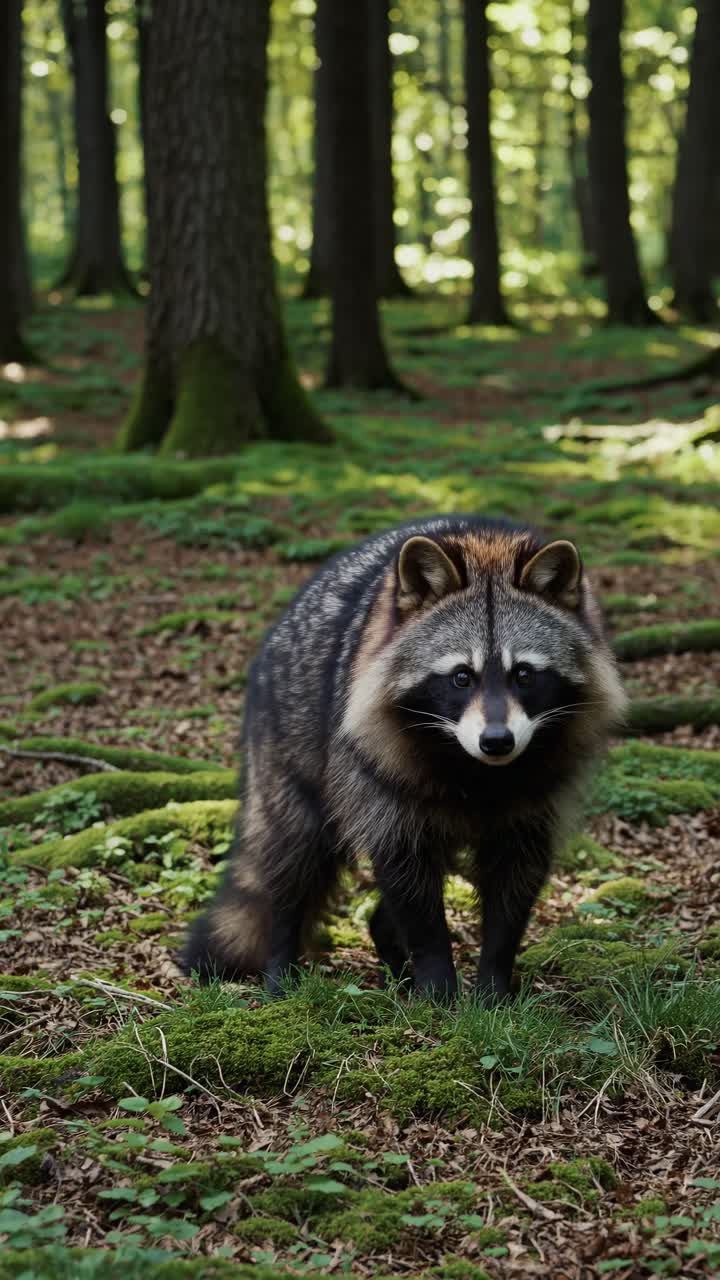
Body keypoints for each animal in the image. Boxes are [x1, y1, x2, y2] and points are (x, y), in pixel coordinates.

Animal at [183, 515, 626, 1002]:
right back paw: (282, 961)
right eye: (461, 677)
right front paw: (438, 986)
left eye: (524, 674)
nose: (497, 741)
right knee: (292, 859)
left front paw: (493, 982)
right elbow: (410, 887)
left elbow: (514, 884)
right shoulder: (383, 786)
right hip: (293, 762)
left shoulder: (536, 799)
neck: (478, 772)